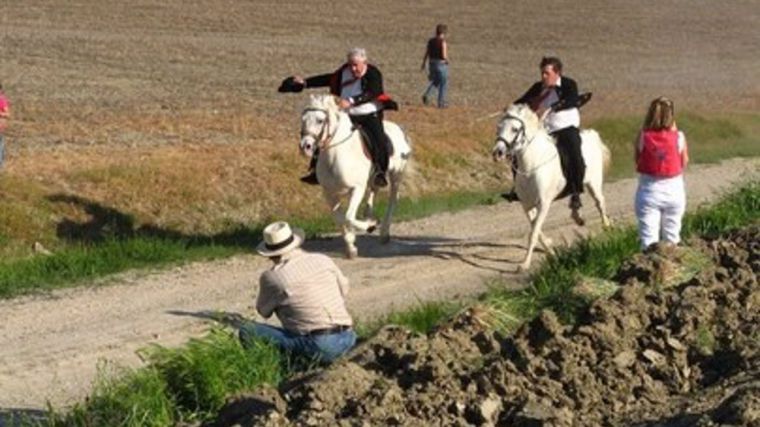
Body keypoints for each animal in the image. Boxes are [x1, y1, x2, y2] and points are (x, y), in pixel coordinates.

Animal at [300, 95, 412, 260]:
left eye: (320, 120)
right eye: (303, 119)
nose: (305, 146)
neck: (335, 154)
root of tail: (399, 129)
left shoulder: (356, 189)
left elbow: (348, 217)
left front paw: (370, 226)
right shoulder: (329, 193)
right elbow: (340, 218)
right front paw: (351, 246)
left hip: (396, 174)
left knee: (393, 199)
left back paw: (383, 232)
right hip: (374, 178)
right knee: (374, 189)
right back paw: (368, 215)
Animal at [492, 103, 612, 270]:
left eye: (514, 129)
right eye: (498, 128)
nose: (497, 153)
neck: (532, 165)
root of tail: (592, 135)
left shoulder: (544, 203)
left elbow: (534, 232)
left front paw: (524, 264)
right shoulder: (527, 205)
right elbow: (535, 228)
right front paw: (550, 248)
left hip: (593, 183)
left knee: (600, 202)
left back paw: (607, 225)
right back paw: (578, 216)